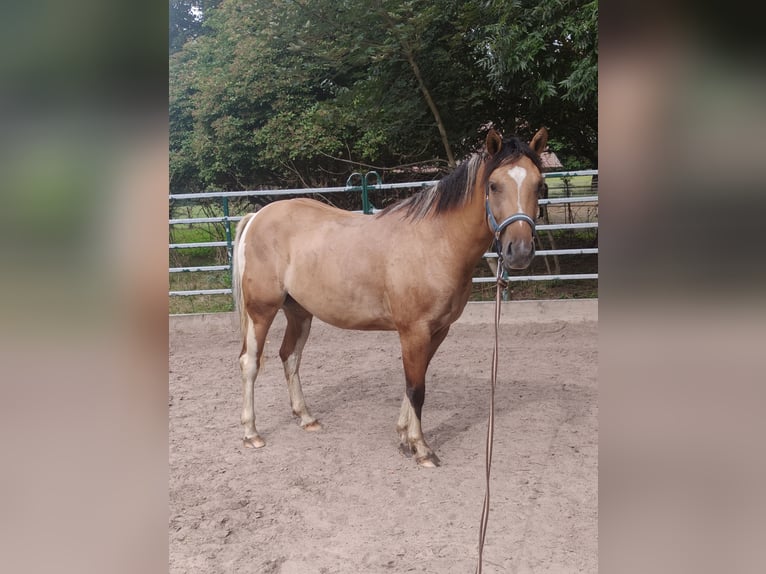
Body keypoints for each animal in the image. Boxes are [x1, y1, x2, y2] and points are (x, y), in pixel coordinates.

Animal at [231, 127, 548, 467]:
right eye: (494, 185)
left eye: (539, 184)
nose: (520, 251)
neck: (437, 241)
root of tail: (257, 216)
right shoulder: (414, 331)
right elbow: (416, 387)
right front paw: (421, 448)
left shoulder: (437, 330)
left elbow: (415, 382)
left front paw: (404, 437)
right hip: (261, 311)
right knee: (250, 362)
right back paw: (251, 433)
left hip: (299, 312)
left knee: (290, 356)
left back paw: (306, 417)